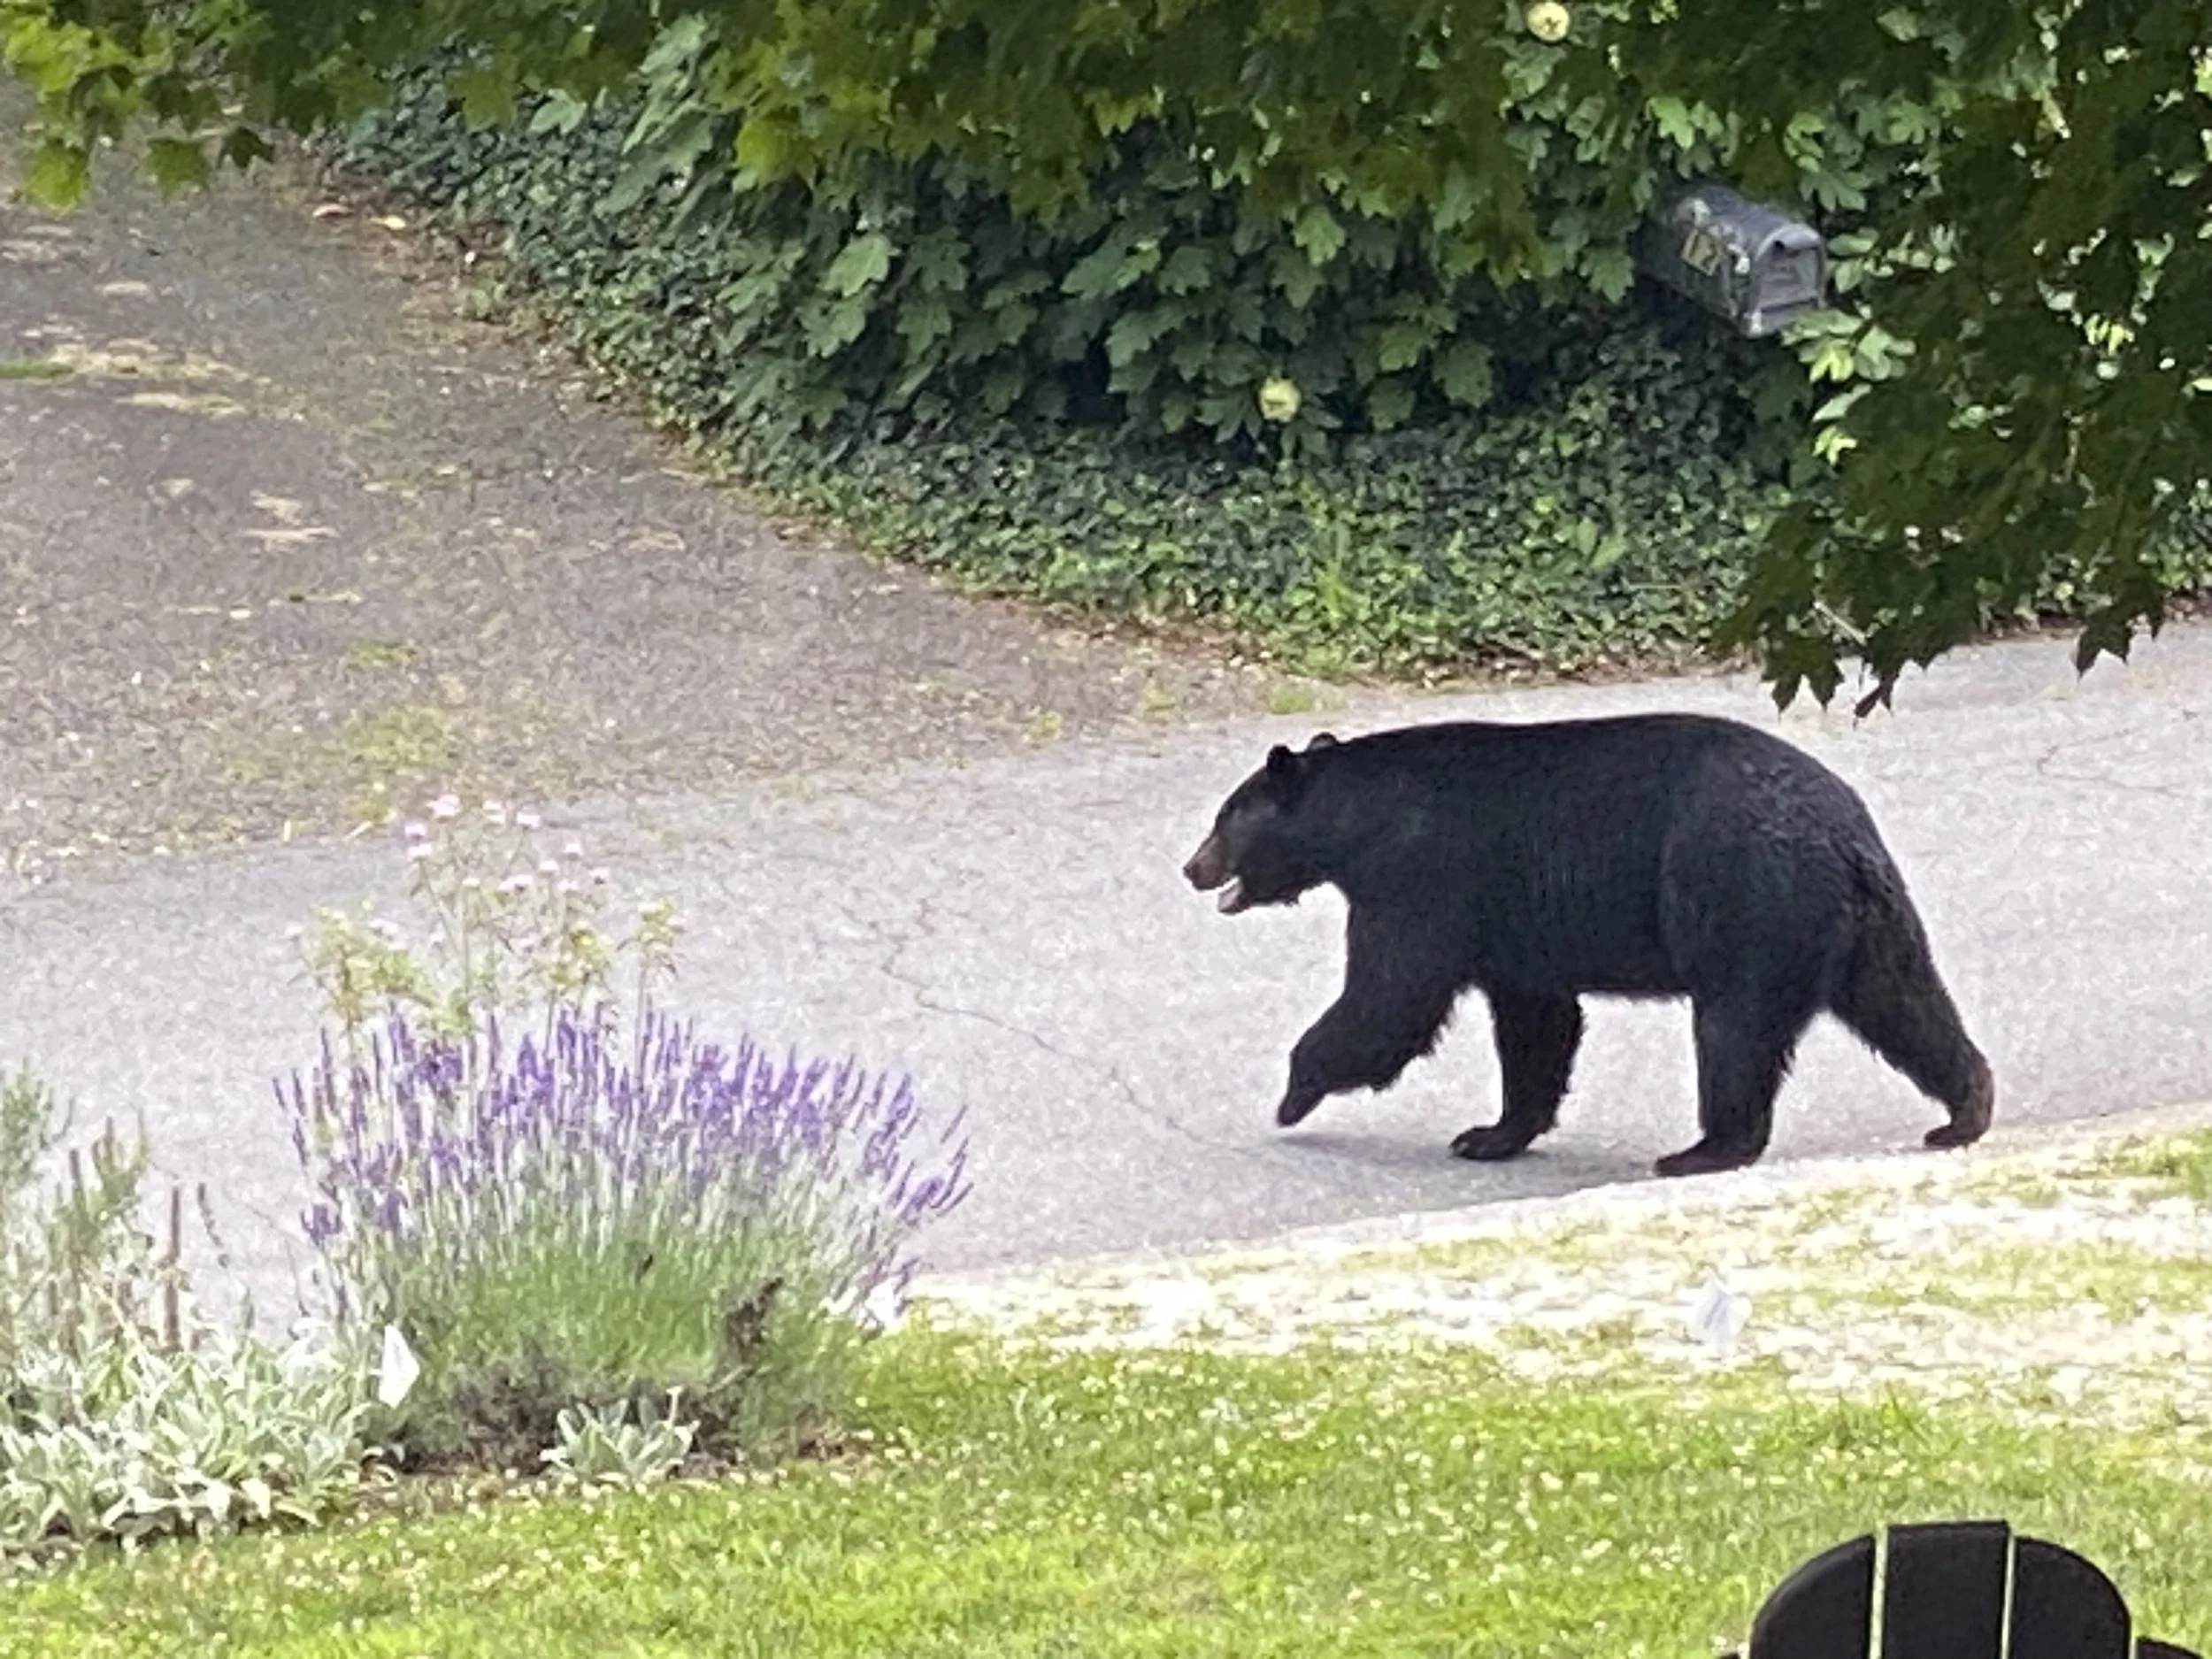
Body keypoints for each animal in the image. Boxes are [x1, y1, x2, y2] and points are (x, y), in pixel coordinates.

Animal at [1180, 712, 1994, 1176]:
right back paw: (1964, 1110)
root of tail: (1843, 834)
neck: (1361, 817)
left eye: (1223, 819)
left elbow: (1391, 996)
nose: (1192, 867)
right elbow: (1535, 1021)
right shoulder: (1514, 924)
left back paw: (1702, 1150)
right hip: (1860, 920)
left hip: (1744, 897)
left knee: (1733, 1029)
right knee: (1907, 1002)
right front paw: (1492, 1132)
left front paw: (1293, 1092)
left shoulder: (1420, 879)